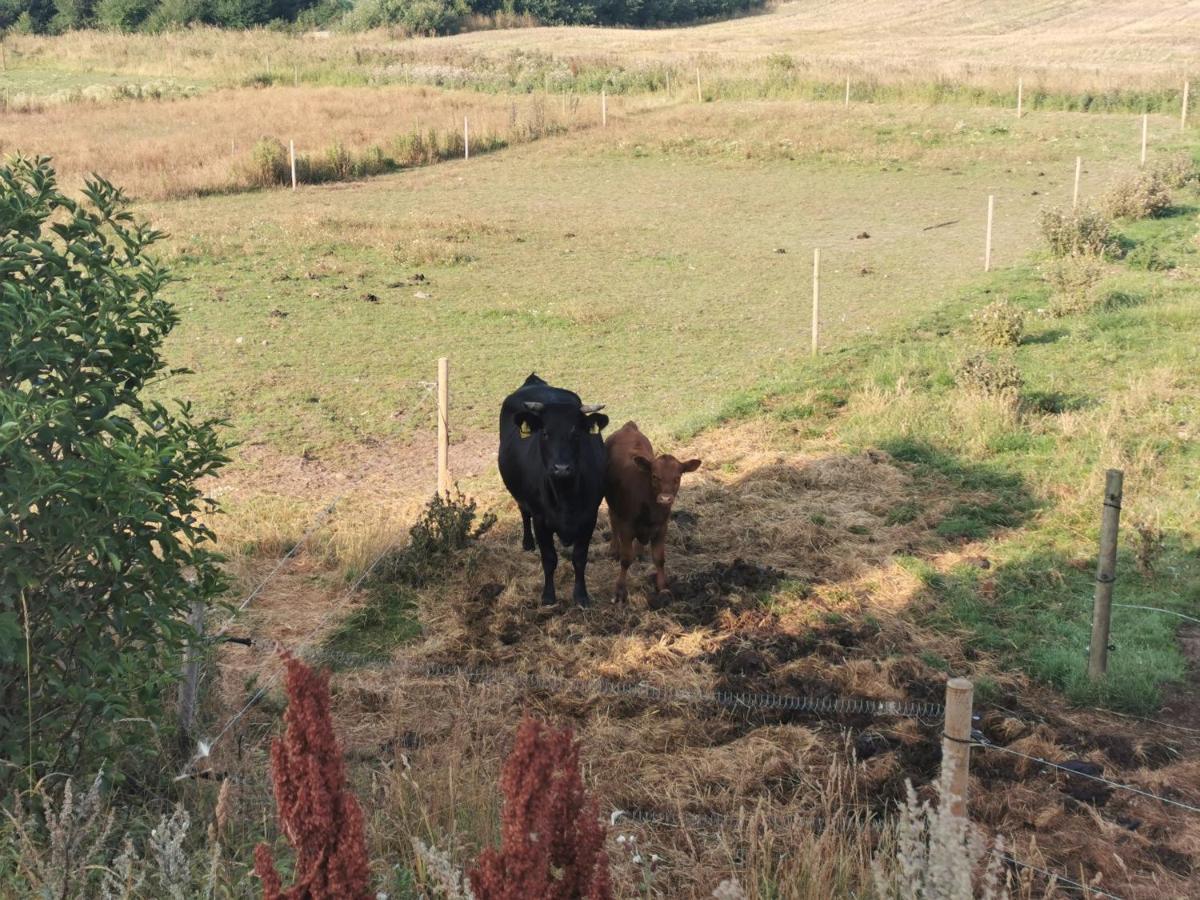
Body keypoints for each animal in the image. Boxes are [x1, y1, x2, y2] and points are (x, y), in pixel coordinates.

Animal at [496, 374, 609, 607]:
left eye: (576, 434)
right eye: (546, 433)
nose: (561, 468)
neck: (565, 495)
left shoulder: (589, 517)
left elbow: (579, 558)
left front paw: (581, 595)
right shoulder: (541, 521)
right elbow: (549, 559)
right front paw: (548, 596)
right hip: (521, 496)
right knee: (523, 512)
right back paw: (527, 543)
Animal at [604, 424, 700, 607]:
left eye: (677, 478)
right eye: (655, 476)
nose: (665, 498)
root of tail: (628, 426)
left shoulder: (661, 527)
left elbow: (659, 558)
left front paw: (663, 588)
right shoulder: (627, 527)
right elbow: (626, 559)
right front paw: (620, 591)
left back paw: (639, 551)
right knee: (612, 520)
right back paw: (613, 548)